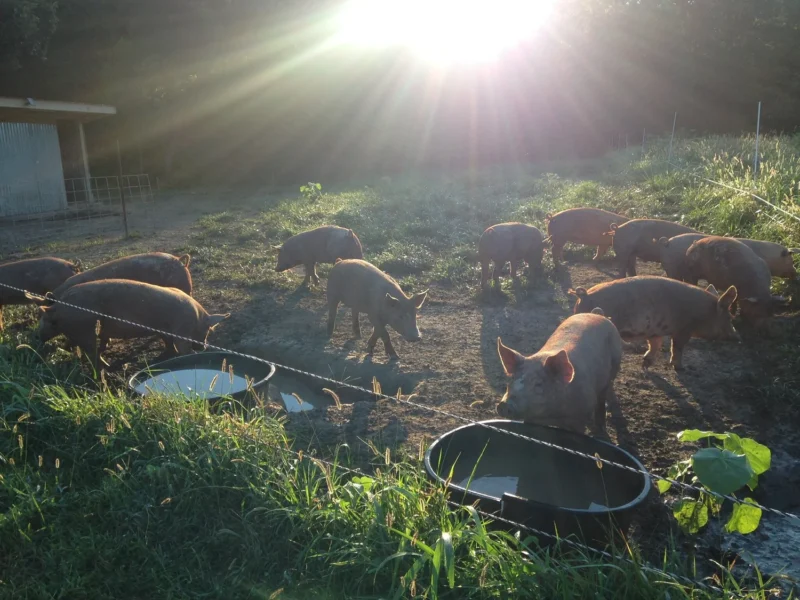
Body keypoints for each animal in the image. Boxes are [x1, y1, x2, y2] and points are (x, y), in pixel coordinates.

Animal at [36, 279, 229, 370]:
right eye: (208, 330)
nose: (203, 347)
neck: (197, 317)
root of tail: (58, 307)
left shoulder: (164, 329)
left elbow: (167, 342)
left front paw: (170, 353)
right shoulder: (182, 330)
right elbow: (182, 348)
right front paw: (188, 355)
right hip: (84, 328)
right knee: (92, 353)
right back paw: (106, 367)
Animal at [570, 275, 739, 370]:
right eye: (730, 318)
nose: (737, 338)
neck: (703, 313)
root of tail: (584, 295)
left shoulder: (655, 331)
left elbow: (655, 344)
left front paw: (645, 364)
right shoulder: (683, 329)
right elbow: (677, 348)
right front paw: (680, 368)